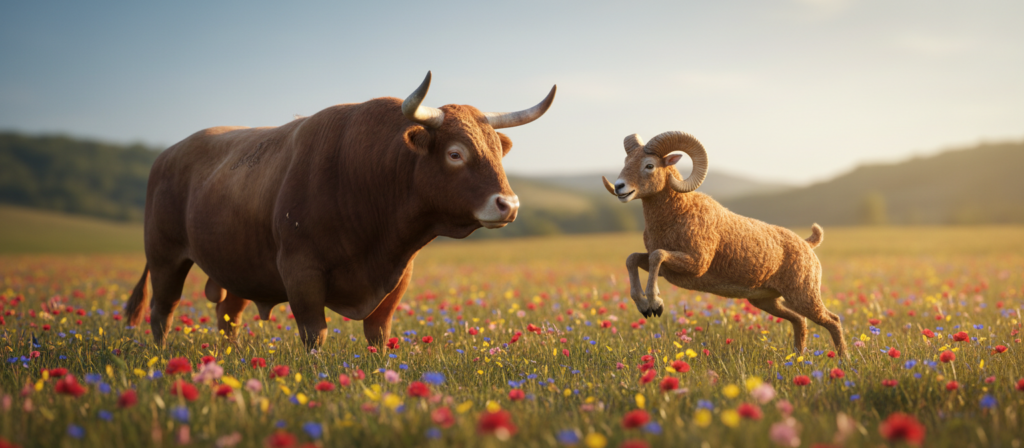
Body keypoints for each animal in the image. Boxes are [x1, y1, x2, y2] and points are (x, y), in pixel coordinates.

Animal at [124, 72, 556, 349]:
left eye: (498, 150)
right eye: (455, 153)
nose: (509, 204)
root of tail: (169, 153)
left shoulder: (398, 278)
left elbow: (378, 334)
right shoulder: (300, 272)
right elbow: (315, 334)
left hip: (236, 266)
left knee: (228, 316)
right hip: (165, 258)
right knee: (162, 312)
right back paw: (160, 358)